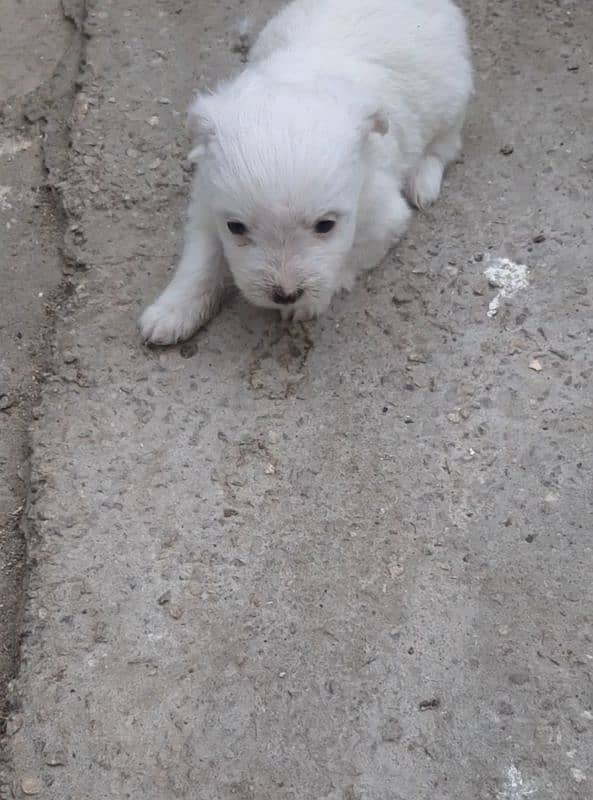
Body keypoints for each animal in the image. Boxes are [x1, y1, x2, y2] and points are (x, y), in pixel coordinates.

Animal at [140, 0, 472, 342]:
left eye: (325, 226)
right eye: (236, 228)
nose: (285, 295)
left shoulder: (384, 219)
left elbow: (346, 258)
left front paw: (306, 305)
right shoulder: (207, 205)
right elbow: (200, 262)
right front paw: (171, 312)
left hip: (453, 100)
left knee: (444, 146)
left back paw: (423, 181)